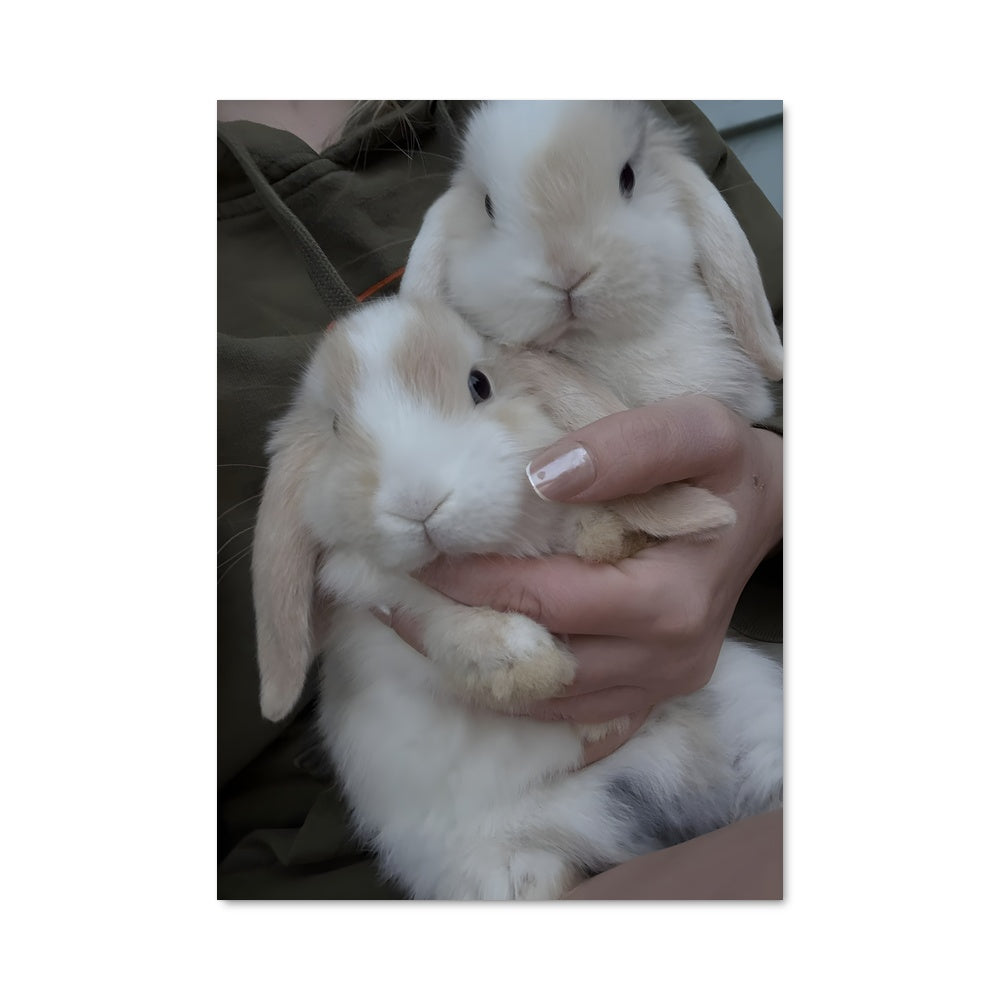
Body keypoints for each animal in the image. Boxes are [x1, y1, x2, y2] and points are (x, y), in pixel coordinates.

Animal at [251, 294, 782, 899]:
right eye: (337, 426)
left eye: (479, 384)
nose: (418, 501)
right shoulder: (385, 599)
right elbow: (441, 619)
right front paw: (530, 666)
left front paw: (610, 536)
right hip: (507, 867)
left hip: (754, 717)